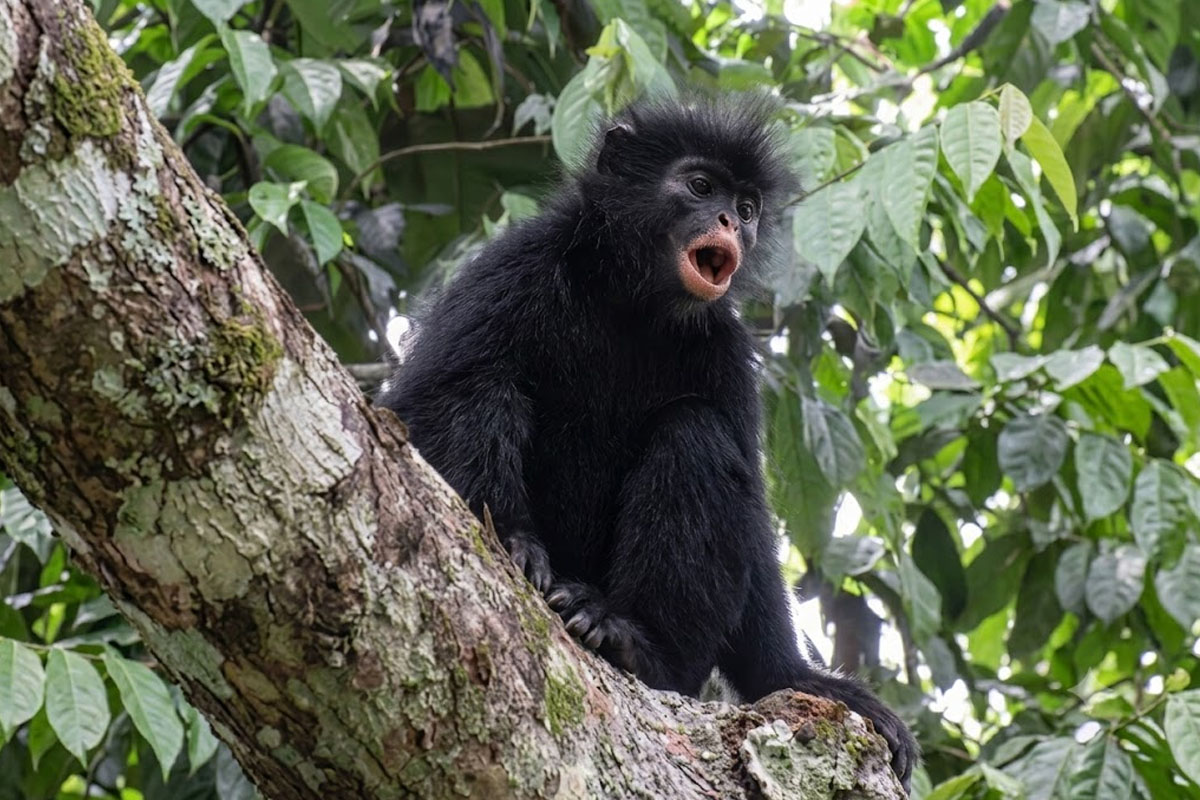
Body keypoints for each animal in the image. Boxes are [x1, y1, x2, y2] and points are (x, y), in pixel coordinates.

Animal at [378, 94, 918, 787]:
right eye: (701, 187)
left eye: (748, 208)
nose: (730, 222)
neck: (631, 304)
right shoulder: (515, 265)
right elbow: (425, 399)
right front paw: (516, 540)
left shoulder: (724, 349)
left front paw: (797, 678)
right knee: (485, 382)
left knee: (696, 433)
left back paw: (631, 641)